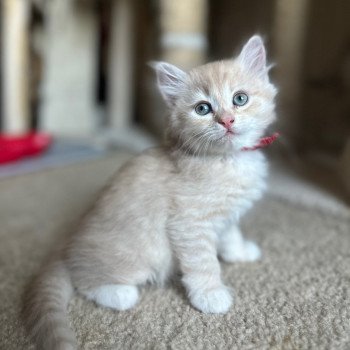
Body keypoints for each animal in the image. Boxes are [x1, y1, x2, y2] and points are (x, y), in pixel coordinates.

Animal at [23, 34, 278, 348]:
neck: (227, 160)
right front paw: (211, 295)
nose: (227, 120)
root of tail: (65, 249)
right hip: (136, 259)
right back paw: (121, 294)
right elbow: (203, 263)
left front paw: (239, 252)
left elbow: (230, 236)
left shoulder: (227, 215)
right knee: (84, 281)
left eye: (239, 99)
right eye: (203, 108)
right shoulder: (190, 225)